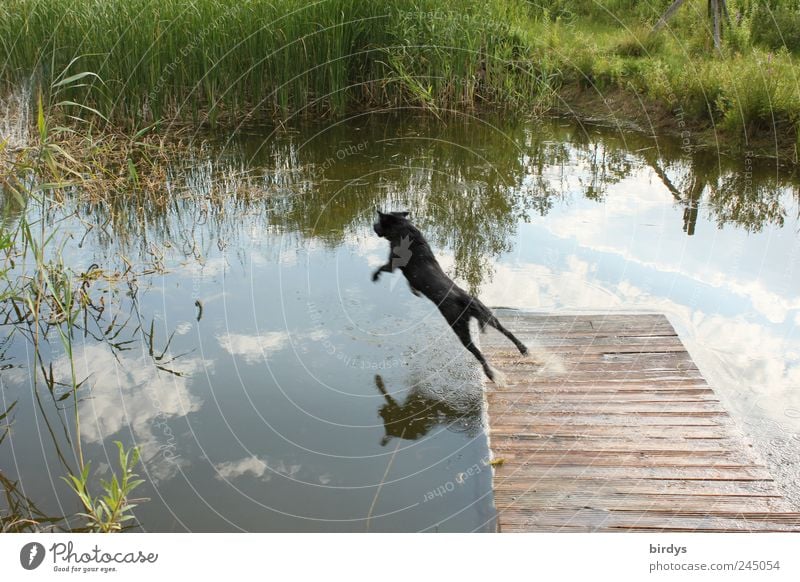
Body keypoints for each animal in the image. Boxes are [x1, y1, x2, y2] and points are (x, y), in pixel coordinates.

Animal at [372, 211, 528, 384]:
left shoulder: (392, 264)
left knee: (478, 353)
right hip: (486, 314)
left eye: (379, 221)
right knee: (506, 331)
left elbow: (381, 268)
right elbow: (409, 283)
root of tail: (465, 300)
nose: (373, 225)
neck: (404, 230)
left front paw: (375, 277)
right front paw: (414, 291)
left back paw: (490, 374)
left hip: (460, 328)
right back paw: (522, 349)